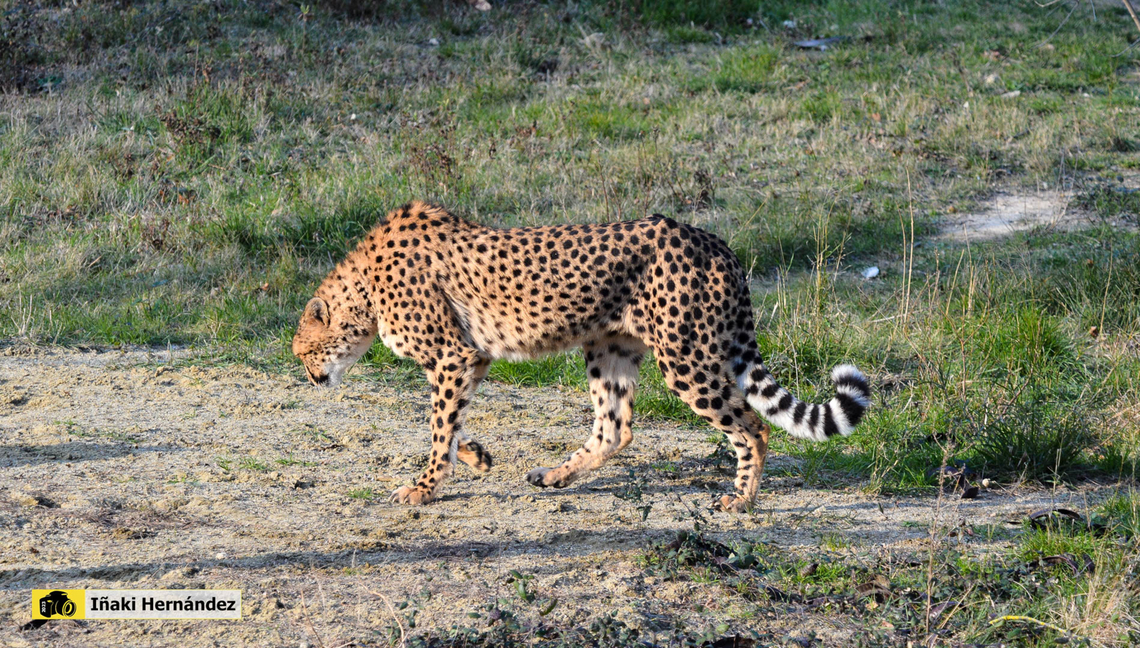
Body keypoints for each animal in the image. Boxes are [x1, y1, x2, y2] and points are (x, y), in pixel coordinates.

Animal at [291, 201, 870, 512]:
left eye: (301, 350)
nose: (311, 377)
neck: (363, 289)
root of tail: (711, 239)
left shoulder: (454, 356)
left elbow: (439, 428)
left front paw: (424, 487)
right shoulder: (470, 358)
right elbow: (450, 426)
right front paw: (475, 456)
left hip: (686, 358)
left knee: (754, 426)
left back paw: (742, 499)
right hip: (609, 346)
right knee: (616, 428)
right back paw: (554, 476)